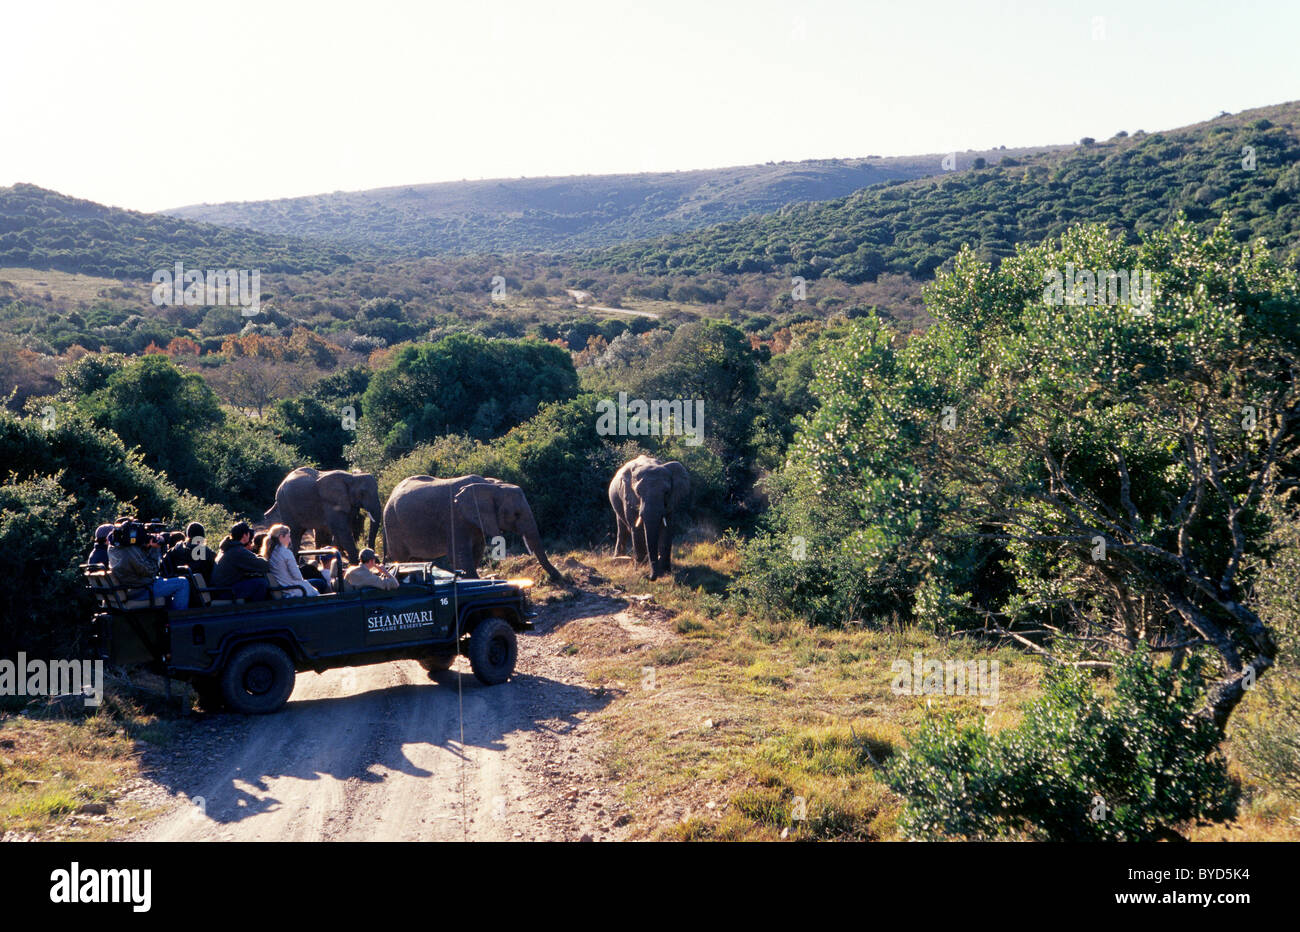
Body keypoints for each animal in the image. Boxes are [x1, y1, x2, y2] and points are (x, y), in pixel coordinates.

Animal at [377, 475, 559, 577]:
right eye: (516, 514)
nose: (559, 578)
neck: (491, 485)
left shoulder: (474, 522)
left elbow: (476, 551)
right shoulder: (455, 519)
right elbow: (460, 556)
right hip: (393, 526)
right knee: (402, 559)